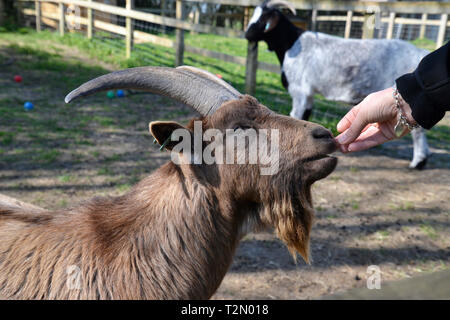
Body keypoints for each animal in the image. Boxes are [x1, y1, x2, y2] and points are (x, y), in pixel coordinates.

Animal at [244, 0, 430, 169]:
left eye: (263, 19)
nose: (247, 35)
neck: (292, 43)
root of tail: (421, 52)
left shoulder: (299, 90)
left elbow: (296, 115)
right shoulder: (309, 93)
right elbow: (306, 116)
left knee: (418, 130)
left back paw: (417, 163)